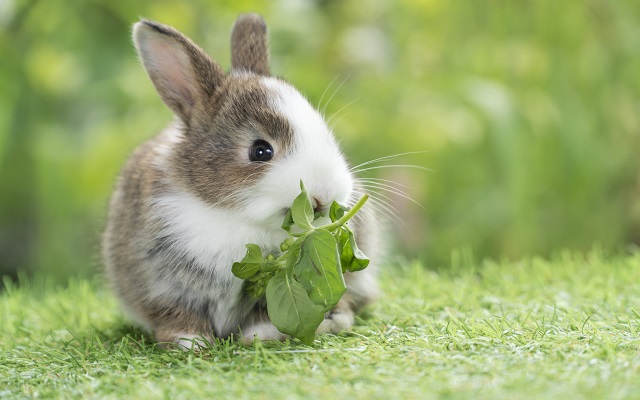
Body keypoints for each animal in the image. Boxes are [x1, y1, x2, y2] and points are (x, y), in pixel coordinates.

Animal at [102, 14, 378, 348]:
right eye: (260, 151)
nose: (326, 194)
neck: (236, 215)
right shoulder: (161, 285)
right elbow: (176, 314)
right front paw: (190, 342)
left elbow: (268, 310)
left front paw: (261, 334)